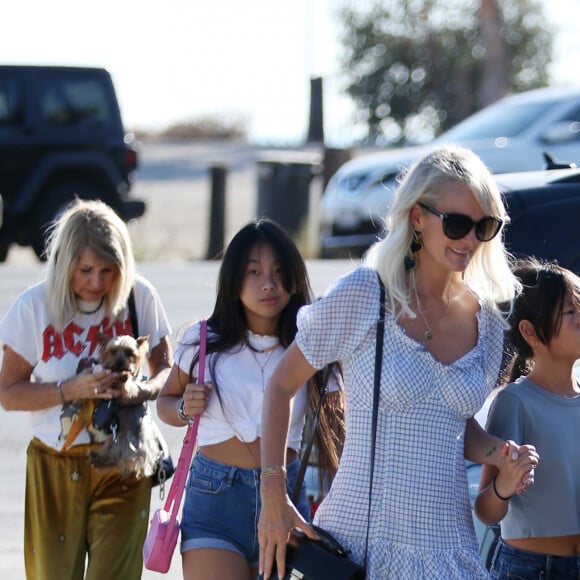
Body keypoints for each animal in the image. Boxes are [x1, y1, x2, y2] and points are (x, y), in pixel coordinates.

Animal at [61, 334, 160, 478]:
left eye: (129, 352)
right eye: (112, 351)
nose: (119, 362)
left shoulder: (130, 388)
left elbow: (126, 384)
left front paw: (123, 376)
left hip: (127, 444)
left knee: (121, 457)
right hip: (113, 442)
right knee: (111, 455)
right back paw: (96, 458)